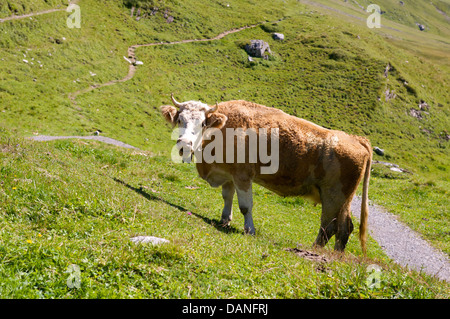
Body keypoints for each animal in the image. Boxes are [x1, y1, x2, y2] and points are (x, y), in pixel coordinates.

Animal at [160, 94, 370, 254]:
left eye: (203, 123)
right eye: (180, 120)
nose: (184, 144)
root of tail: (356, 139)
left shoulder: (243, 176)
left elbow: (245, 206)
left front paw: (249, 230)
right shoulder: (228, 174)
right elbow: (227, 197)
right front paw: (225, 220)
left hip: (333, 196)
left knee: (329, 226)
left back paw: (314, 250)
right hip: (343, 200)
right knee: (344, 228)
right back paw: (336, 256)